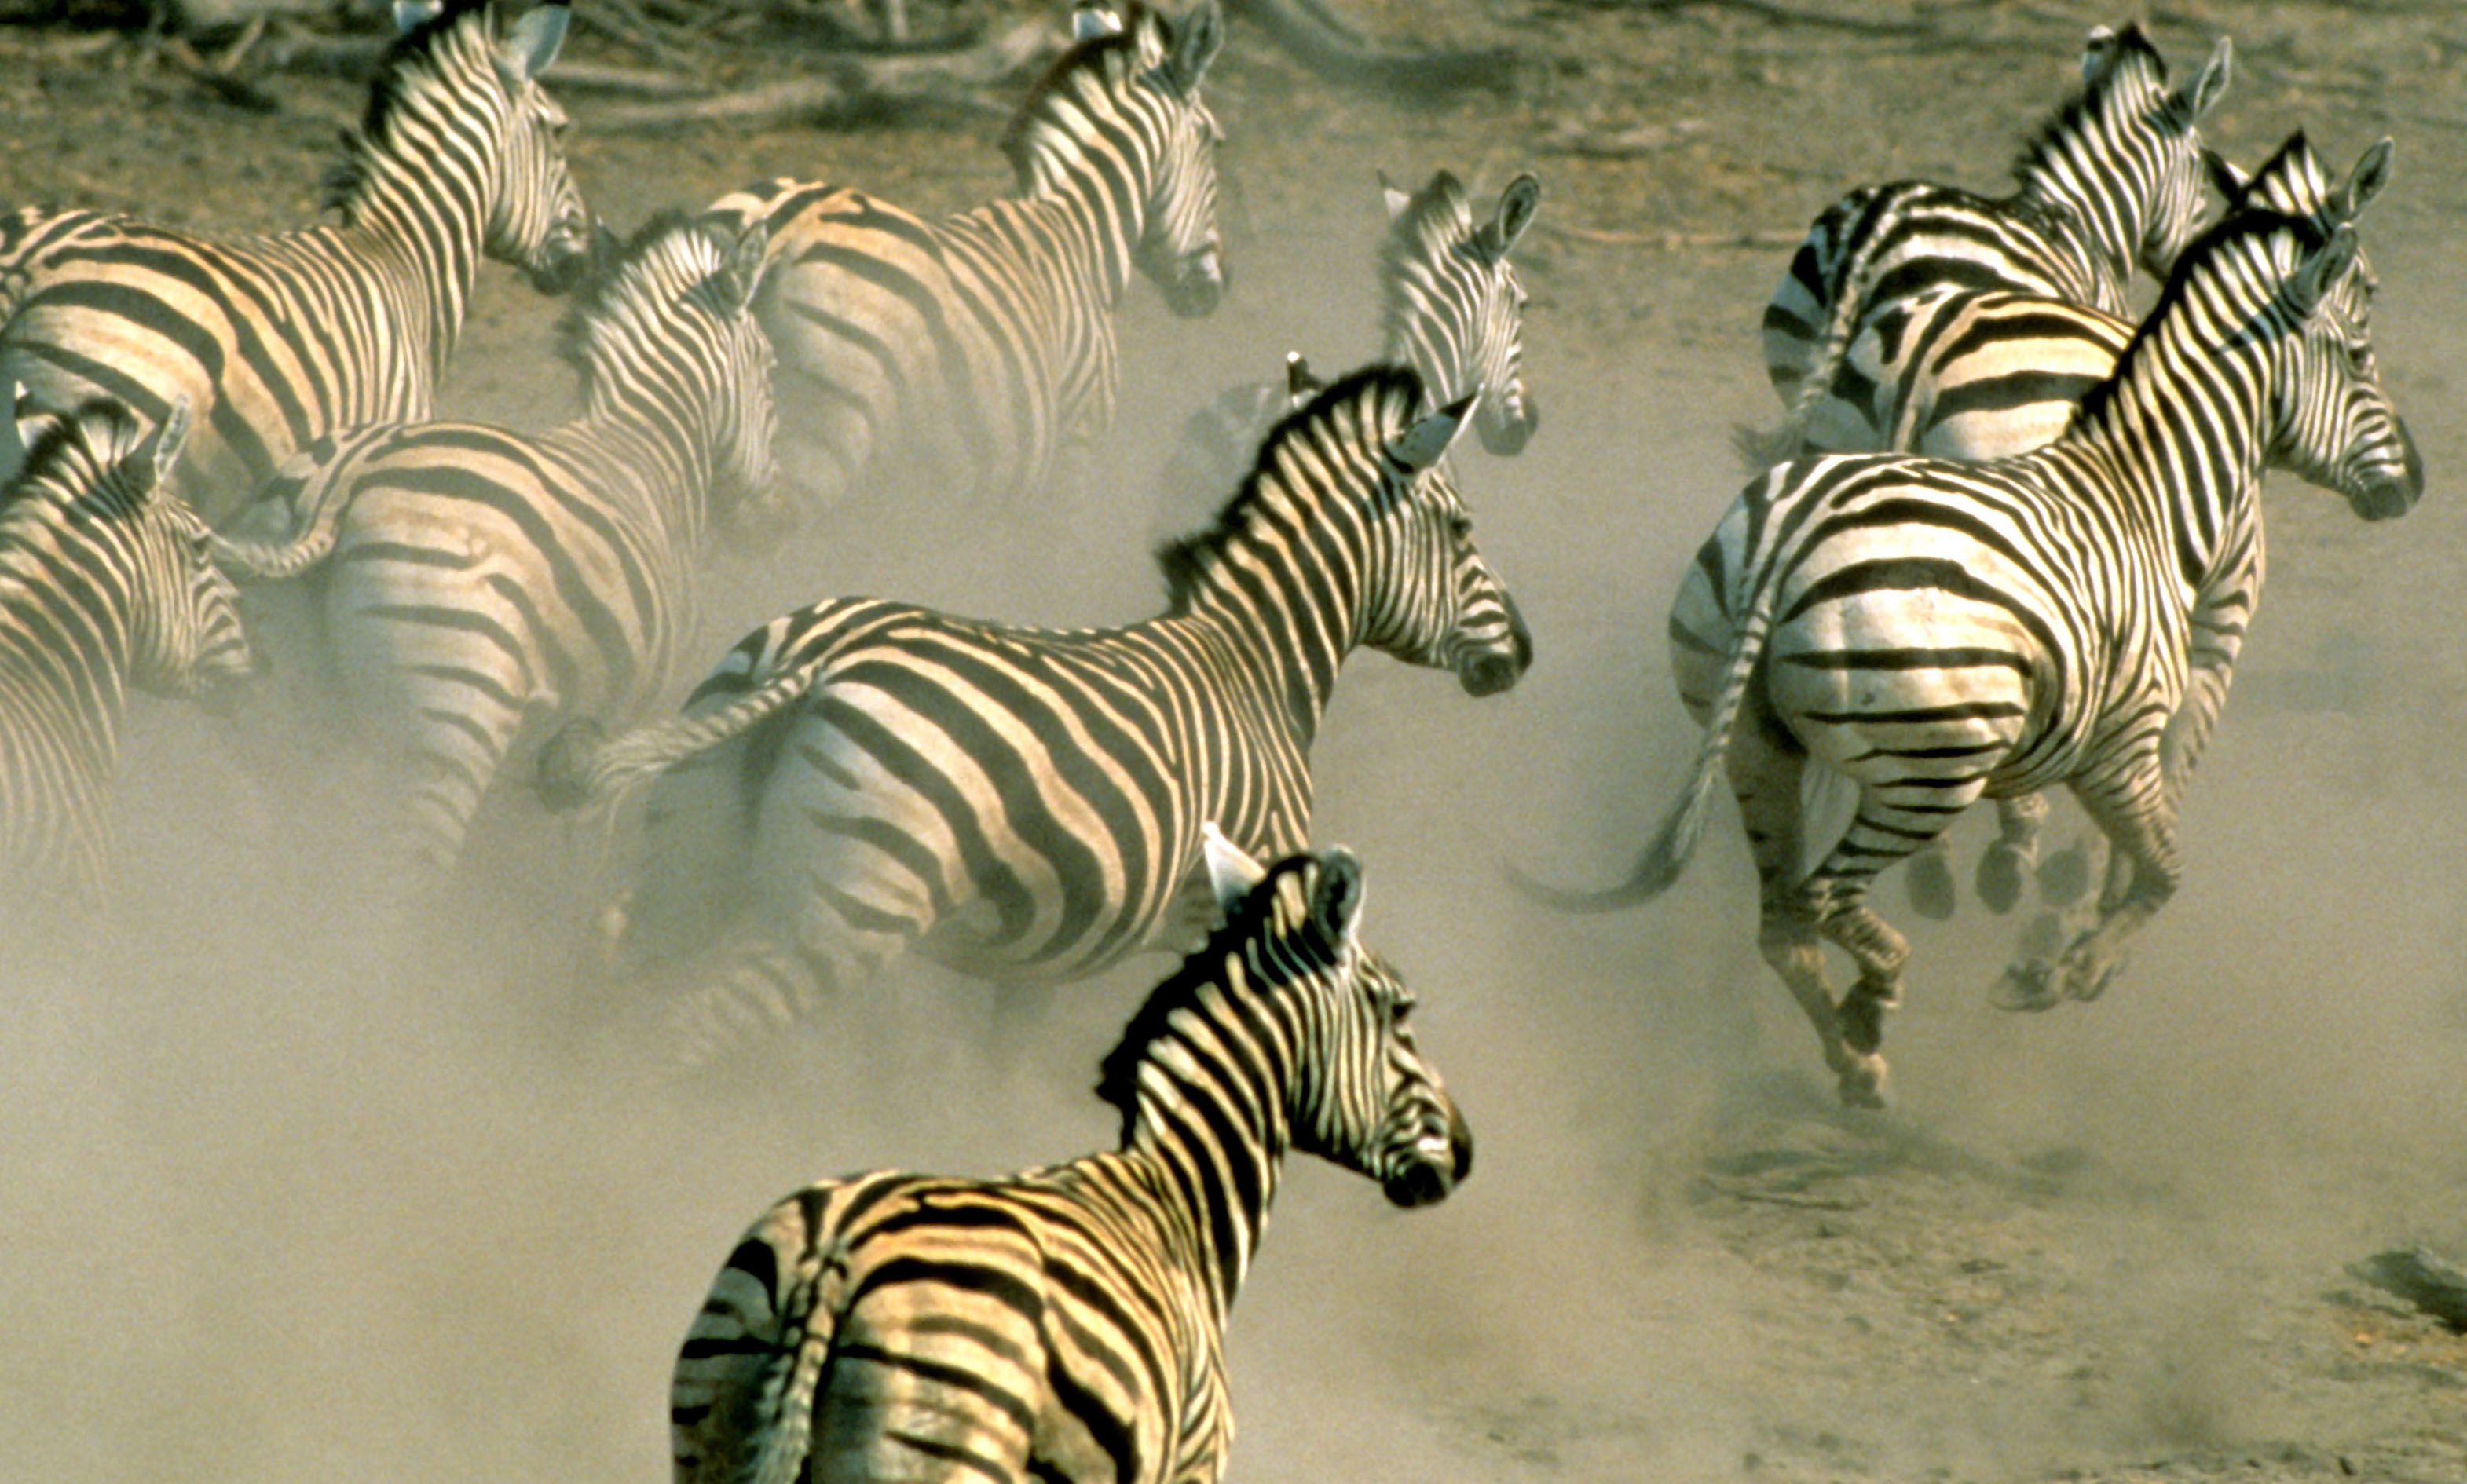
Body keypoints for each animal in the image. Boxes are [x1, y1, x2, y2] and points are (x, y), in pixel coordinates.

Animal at [208, 211, 786, 878]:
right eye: (769, 367)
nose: (778, 521)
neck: (648, 451)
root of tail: (344, 479)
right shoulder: (618, 733)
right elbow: (576, 868)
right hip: (450, 725)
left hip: (285, 725)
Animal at [536, 363, 1530, 1062]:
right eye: (1463, 530)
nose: (1521, 652)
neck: (1254, 665)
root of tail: (823, 657)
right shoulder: (1228, 909)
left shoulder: (1057, 945)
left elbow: (1000, 1065)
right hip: (845, 916)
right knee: (687, 1035)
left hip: (693, 860)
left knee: (610, 963)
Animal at [668, 832, 1470, 1484]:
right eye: (1401, 1011)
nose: (1463, 1152)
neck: (1182, 1201)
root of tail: (833, 1260)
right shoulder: (1191, 1467)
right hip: (951, 1445)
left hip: (716, 1414)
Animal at [704, 0, 1227, 513]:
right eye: (1213, 141)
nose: (1216, 288)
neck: (1080, 230)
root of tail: (780, 226)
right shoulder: (1076, 450)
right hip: (822, 440)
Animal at [1519, 188, 2420, 1108]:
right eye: (2359, 353)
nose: (2414, 482)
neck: (2147, 494)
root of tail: (1786, 541)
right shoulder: (2122, 744)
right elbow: (2161, 871)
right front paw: (2061, 971)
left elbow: (2142, 866)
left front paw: (2060, 952)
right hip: (1931, 771)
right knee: (1823, 897)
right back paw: (1876, 1003)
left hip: (1751, 741)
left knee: (1784, 925)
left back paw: (1859, 1071)